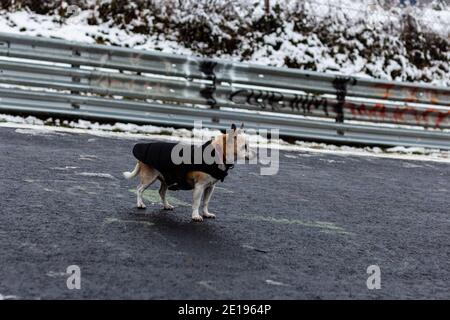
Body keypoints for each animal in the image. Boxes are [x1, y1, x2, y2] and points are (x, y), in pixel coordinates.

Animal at [122, 123, 253, 222]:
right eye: (245, 146)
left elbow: (206, 202)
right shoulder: (199, 187)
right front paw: (196, 216)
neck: (217, 153)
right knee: (139, 189)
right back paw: (140, 204)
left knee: (161, 192)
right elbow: (197, 202)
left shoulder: (210, 187)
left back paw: (166, 205)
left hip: (167, 179)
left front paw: (206, 213)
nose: (254, 153)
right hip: (150, 177)